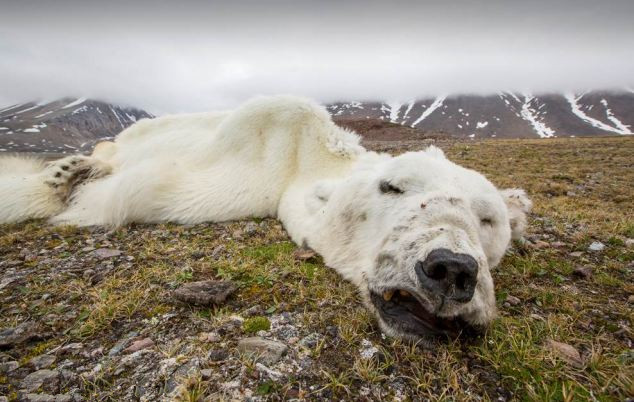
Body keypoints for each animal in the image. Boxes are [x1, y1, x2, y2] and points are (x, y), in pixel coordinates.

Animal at [0, 96, 528, 340]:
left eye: (488, 219)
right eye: (392, 186)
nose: (451, 269)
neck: (304, 159)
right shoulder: (252, 155)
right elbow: (137, 190)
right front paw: (61, 183)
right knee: (112, 148)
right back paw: (75, 165)